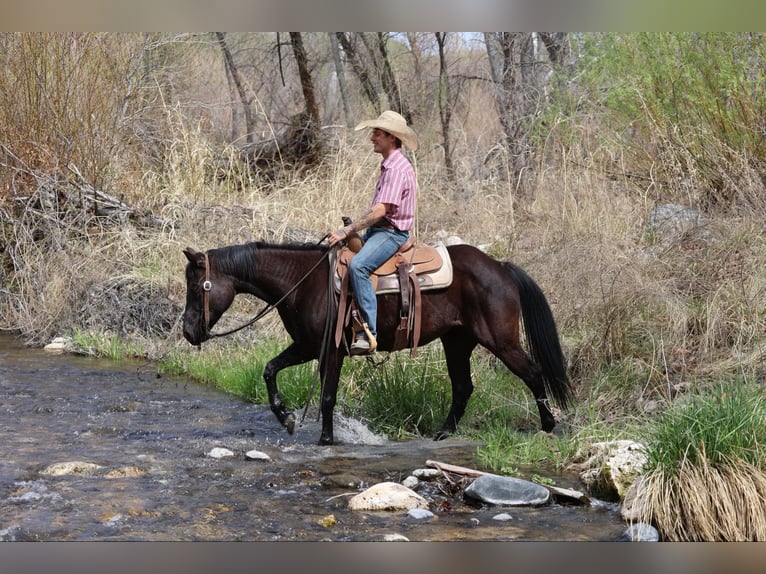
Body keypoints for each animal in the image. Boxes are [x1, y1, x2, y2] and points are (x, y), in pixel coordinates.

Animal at [182, 241, 573, 445]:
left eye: (197, 286)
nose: (187, 332)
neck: (302, 282)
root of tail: (500, 266)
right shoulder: (309, 346)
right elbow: (270, 370)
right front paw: (286, 417)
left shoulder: (331, 350)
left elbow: (327, 396)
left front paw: (325, 440)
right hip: (457, 341)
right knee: (463, 386)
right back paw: (443, 433)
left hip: (500, 340)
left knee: (532, 373)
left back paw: (548, 426)